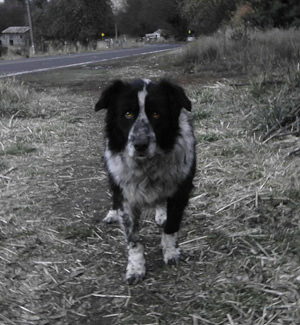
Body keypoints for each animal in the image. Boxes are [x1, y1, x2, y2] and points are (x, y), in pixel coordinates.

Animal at [95, 78, 196, 284]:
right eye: (127, 114)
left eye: (156, 114)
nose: (140, 145)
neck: (146, 167)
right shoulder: (125, 198)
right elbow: (133, 240)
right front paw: (135, 268)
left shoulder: (180, 192)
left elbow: (171, 226)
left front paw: (171, 252)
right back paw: (112, 213)